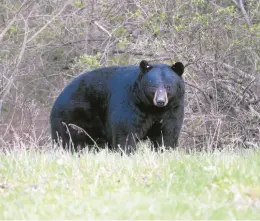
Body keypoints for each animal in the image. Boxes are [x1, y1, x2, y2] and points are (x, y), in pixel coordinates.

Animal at [49, 59, 185, 155]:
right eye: (154, 86)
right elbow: (125, 130)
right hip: (73, 115)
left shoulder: (172, 108)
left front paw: (164, 151)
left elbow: (168, 132)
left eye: (168, 86)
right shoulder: (130, 103)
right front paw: (127, 152)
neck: (151, 107)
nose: (160, 101)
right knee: (69, 139)